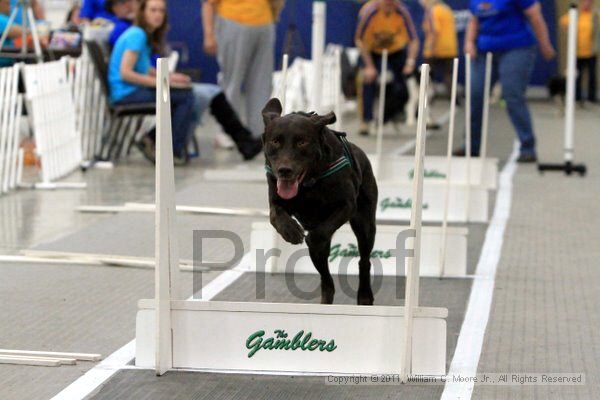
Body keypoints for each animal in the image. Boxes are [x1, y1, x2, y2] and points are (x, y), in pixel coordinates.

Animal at [260, 98, 378, 304]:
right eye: (275, 141)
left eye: (302, 141)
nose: (284, 170)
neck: (309, 184)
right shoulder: (275, 198)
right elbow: (276, 215)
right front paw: (291, 232)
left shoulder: (347, 205)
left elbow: (318, 234)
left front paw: (309, 237)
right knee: (326, 277)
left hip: (365, 224)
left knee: (364, 261)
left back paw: (364, 296)